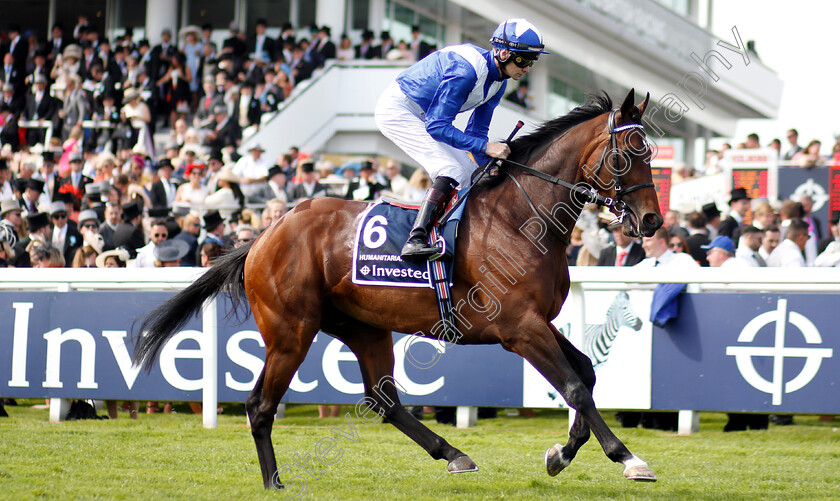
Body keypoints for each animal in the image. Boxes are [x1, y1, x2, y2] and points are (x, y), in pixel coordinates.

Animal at [135, 88, 668, 486]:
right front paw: (627, 458)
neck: (522, 218)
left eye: (652, 153)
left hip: (362, 326)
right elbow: (575, 386)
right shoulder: (519, 328)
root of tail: (266, 233)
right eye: (628, 154)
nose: (652, 221)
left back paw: (453, 453)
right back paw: (274, 481)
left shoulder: (538, 321)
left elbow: (586, 374)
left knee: (383, 398)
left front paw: (562, 452)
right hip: (291, 330)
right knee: (260, 405)